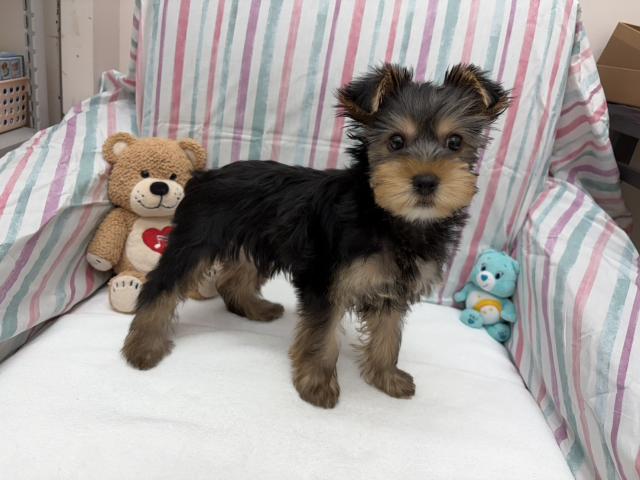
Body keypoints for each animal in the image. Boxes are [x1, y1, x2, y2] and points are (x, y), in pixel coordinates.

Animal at [121, 63, 509, 408]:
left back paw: (256, 308)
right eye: (396, 142)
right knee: (162, 284)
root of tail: (205, 175)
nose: (426, 181)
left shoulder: (393, 288)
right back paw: (142, 347)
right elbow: (322, 337)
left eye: (455, 142)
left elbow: (389, 333)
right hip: (198, 239)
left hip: (258, 239)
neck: (387, 215)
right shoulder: (327, 282)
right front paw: (317, 386)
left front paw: (386, 377)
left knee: (235, 277)